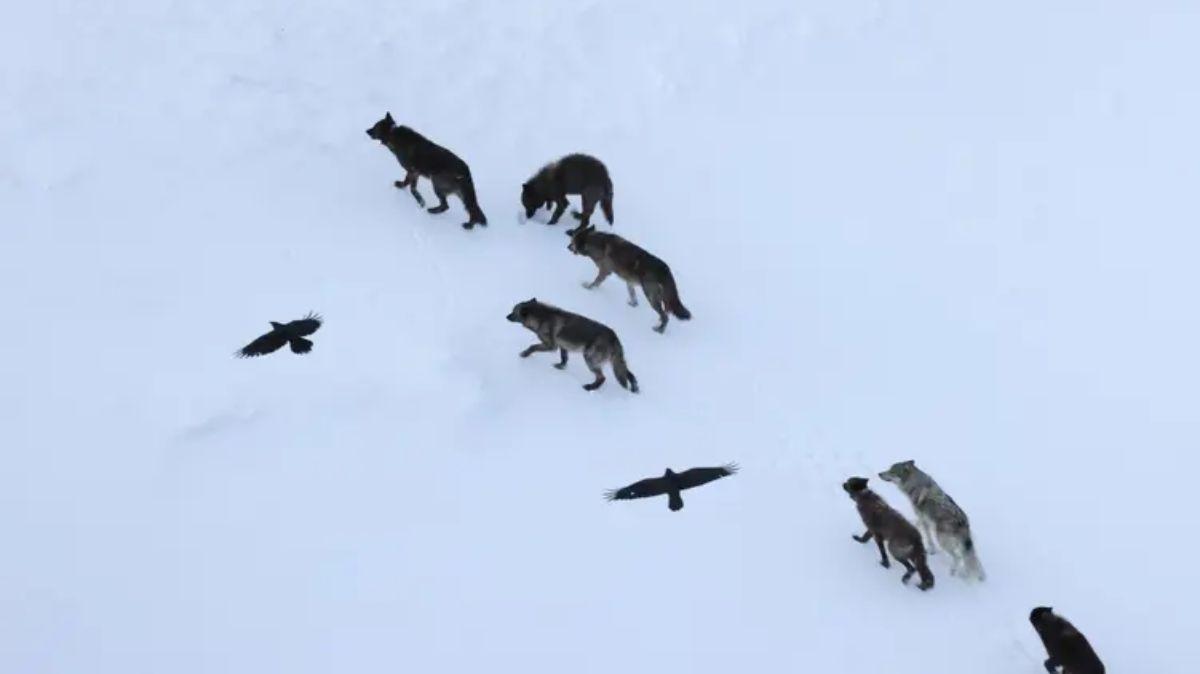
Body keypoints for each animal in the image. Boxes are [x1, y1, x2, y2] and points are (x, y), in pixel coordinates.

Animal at [505, 298, 638, 393]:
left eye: (513, 311)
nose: (506, 316)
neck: (542, 318)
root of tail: (614, 337)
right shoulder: (562, 346)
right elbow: (564, 358)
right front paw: (561, 367)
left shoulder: (551, 346)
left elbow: (532, 347)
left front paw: (524, 354)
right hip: (614, 362)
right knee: (628, 373)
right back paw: (635, 388)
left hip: (589, 359)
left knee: (602, 378)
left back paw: (590, 388)